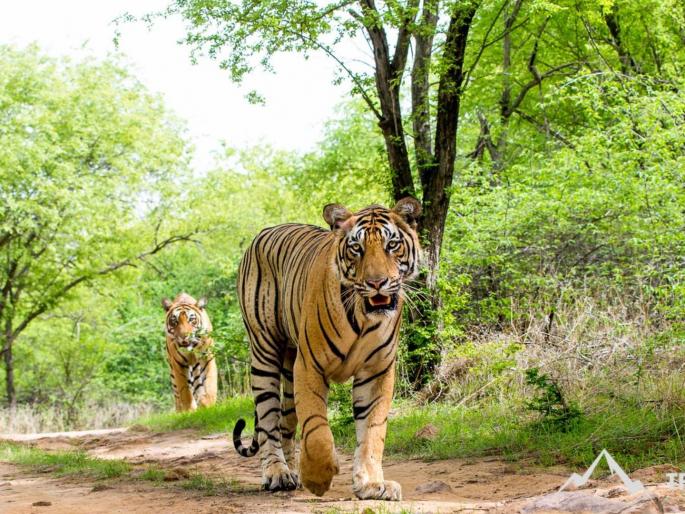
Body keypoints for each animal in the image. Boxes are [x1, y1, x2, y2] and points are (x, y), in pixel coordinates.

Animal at [232, 198, 421, 501]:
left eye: (392, 245)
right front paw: (319, 478)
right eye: (356, 248)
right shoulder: (309, 366)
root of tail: (267, 230)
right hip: (264, 351)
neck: (363, 316)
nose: (376, 283)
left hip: (289, 367)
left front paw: (371, 484)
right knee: (269, 422)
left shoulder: (376, 371)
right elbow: (317, 429)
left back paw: (292, 473)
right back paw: (277, 474)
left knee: (285, 424)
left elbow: (372, 432)